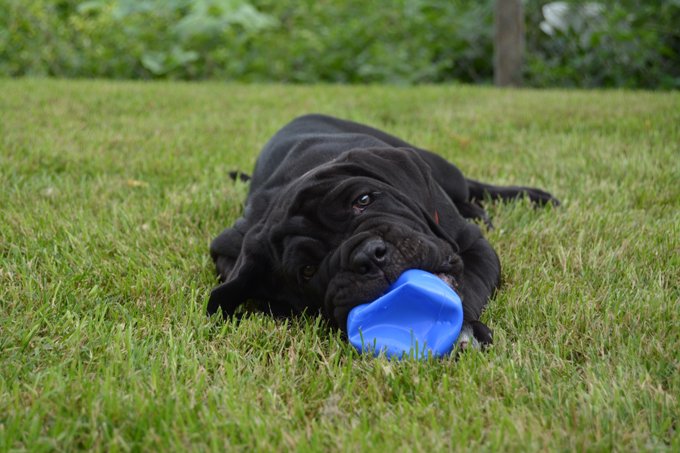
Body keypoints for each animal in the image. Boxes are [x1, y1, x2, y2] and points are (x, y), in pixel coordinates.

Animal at [209, 113, 556, 346]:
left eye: (363, 200)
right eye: (307, 270)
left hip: (442, 168)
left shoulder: (475, 246)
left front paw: (465, 330)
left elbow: (468, 284)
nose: (368, 255)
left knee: (471, 186)